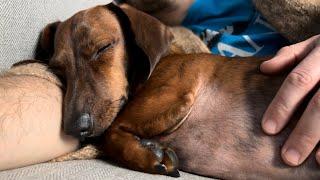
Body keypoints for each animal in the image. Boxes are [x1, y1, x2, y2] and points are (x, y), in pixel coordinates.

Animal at [36, 2, 318, 179]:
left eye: (103, 48)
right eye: (58, 68)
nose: (76, 127)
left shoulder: (173, 94)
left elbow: (111, 132)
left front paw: (147, 154)